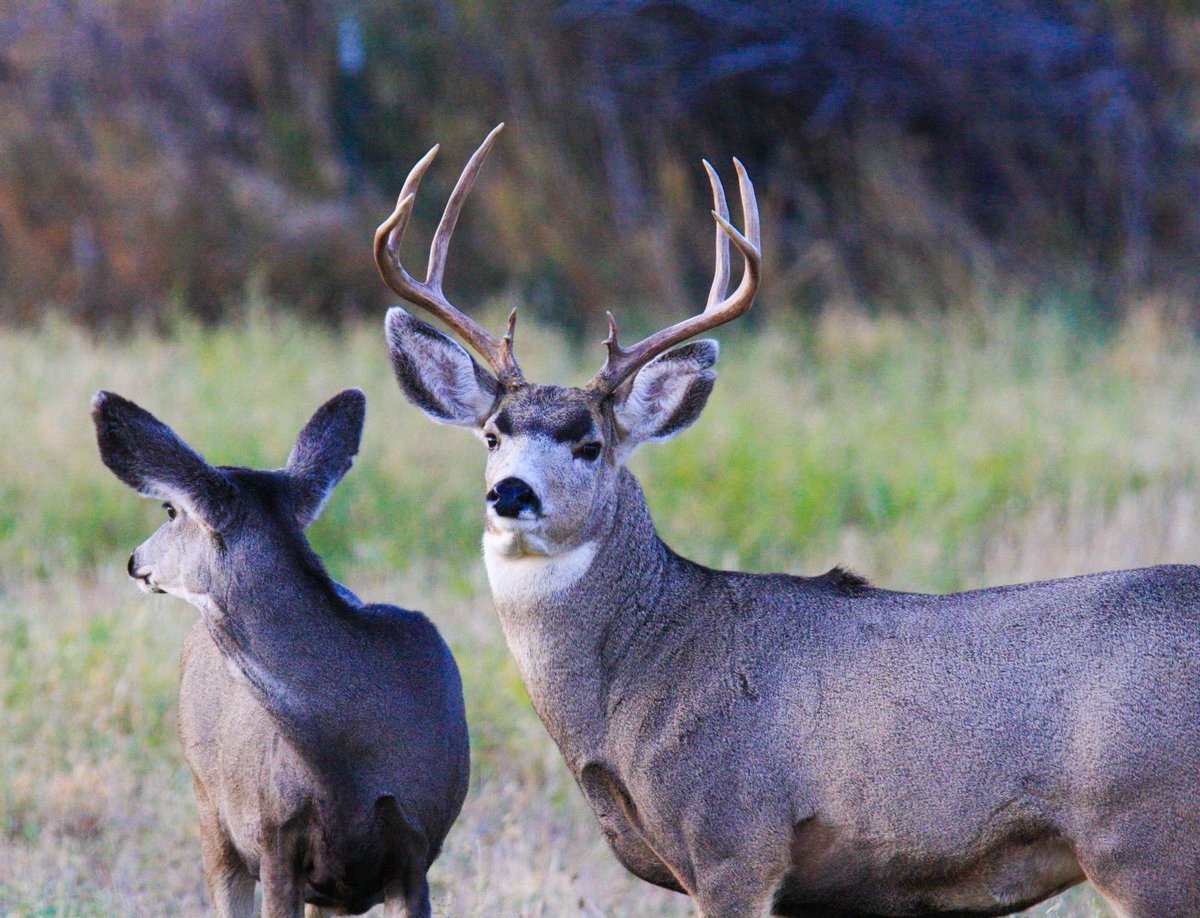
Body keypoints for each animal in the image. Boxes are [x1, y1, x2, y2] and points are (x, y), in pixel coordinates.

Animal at [374, 123, 1200, 918]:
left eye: (590, 444)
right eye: (492, 434)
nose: (511, 494)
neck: (642, 672)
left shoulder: (734, 838)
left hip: (1144, 839)